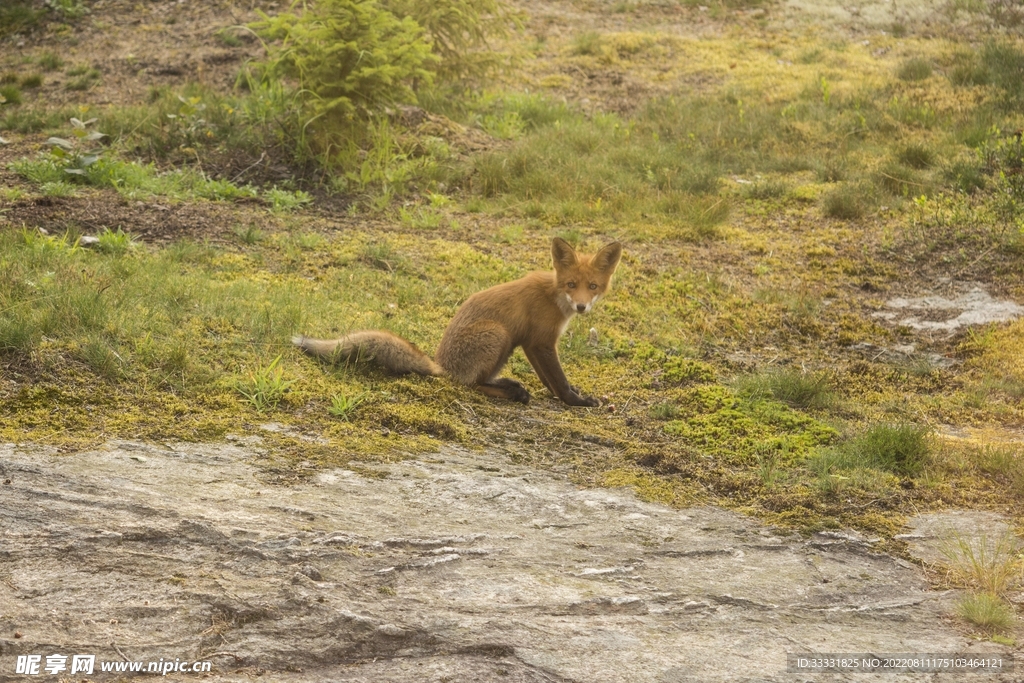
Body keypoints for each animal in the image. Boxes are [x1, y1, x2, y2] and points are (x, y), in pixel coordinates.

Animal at [292, 237, 618, 405]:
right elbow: (557, 379)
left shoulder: (531, 344)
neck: (554, 297)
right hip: (498, 334)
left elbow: (548, 378)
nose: (581, 306)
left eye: (592, 286)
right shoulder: (540, 342)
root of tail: (441, 364)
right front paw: (574, 400)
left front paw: (567, 394)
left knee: (480, 379)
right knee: (470, 384)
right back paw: (511, 393)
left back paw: (508, 385)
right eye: (571, 284)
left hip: (504, 347)